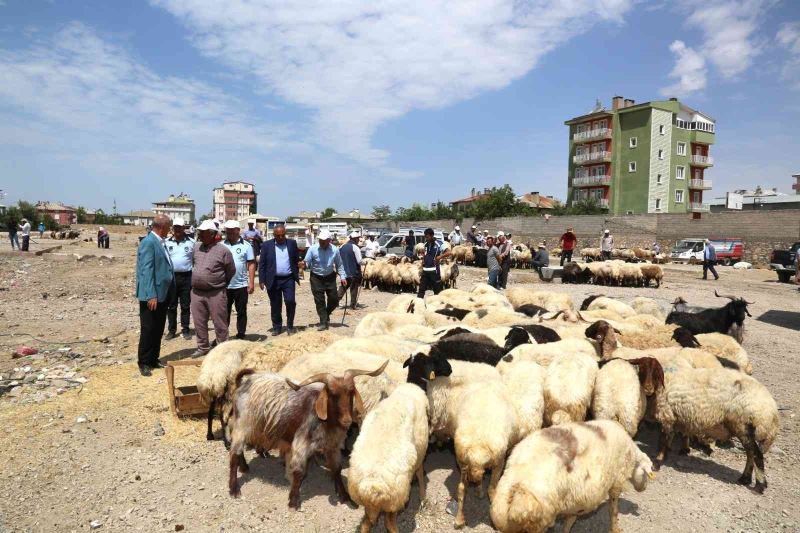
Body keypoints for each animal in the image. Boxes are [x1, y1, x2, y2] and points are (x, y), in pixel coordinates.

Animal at [227, 362, 390, 508]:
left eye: (351, 392)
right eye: (332, 394)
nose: (347, 420)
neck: (325, 422)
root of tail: (242, 383)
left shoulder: (333, 447)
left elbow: (336, 469)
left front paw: (345, 496)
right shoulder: (301, 444)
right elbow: (299, 472)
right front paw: (293, 501)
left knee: (239, 450)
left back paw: (244, 467)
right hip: (242, 424)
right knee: (234, 454)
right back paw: (234, 489)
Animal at [346, 382, 428, 532]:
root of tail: (372, 487)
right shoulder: (421, 453)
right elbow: (420, 473)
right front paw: (423, 497)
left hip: (369, 504)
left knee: (366, 523)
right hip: (395, 502)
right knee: (389, 523)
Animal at [488, 420, 656, 532]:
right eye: (647, 473)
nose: (643, 488)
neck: (632, 456)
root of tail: (517, 487)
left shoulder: (575, 499)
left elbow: (570, 520)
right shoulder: (616, 482)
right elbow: (613, 510)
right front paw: (615, 529)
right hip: (540, 522)